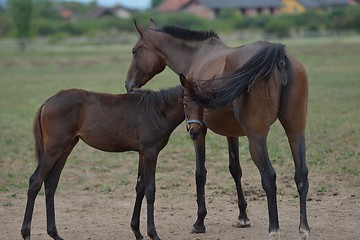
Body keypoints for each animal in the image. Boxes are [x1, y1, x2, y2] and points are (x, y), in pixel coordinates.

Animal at [20, 86, 184, 240]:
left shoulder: (142, 154)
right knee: (35, 181)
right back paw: (26, 233)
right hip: (54, 149)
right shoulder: (150, 152)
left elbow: (140, 187)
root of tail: (48, 102)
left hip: (66, 148)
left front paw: (137, 232)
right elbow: (150, 190)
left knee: (51, 183)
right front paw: (153, 233)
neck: (157, 110)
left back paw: (54, 234)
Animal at [124, 19, 310, 239]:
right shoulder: (232, 133)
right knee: (301, 174)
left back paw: (274, 228)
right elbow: (235, 169)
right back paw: (304, 227)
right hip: (295, 132)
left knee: (269, 176)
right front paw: (243, 217)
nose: (128, 85)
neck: (196, 56)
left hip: (257, 139)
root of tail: (278, 57)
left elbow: (200, 173)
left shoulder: (198, 131)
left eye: (135, 51)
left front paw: (199, 222)